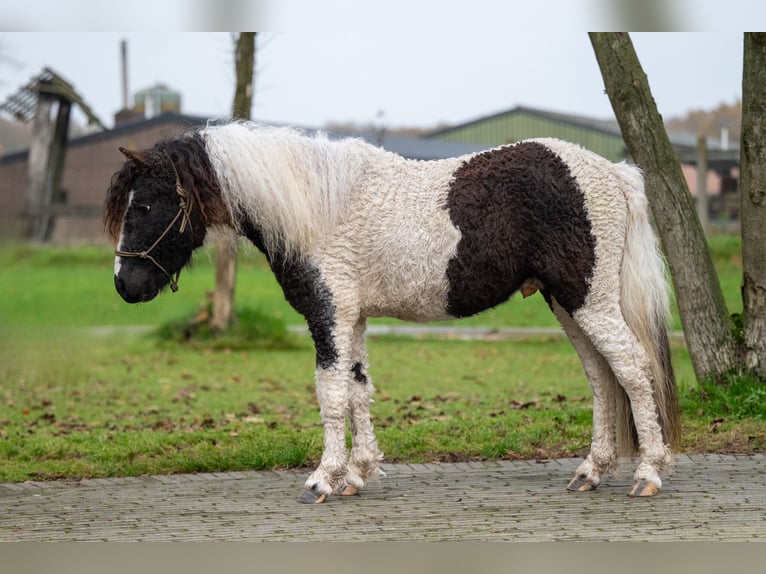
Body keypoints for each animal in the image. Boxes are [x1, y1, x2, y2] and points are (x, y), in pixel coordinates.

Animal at [105, 120, 680, 504]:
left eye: (146, 204)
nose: (124, 286)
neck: (318, 207)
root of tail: (612, 172)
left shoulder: (329, 316)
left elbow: (331, 393)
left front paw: (324, 478)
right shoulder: (352, 319)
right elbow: (359, 389)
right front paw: (358, 473)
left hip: (589, 301)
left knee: (631, 369)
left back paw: (647, 472)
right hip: (565, 303)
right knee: (601, 376)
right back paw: (591, 471)